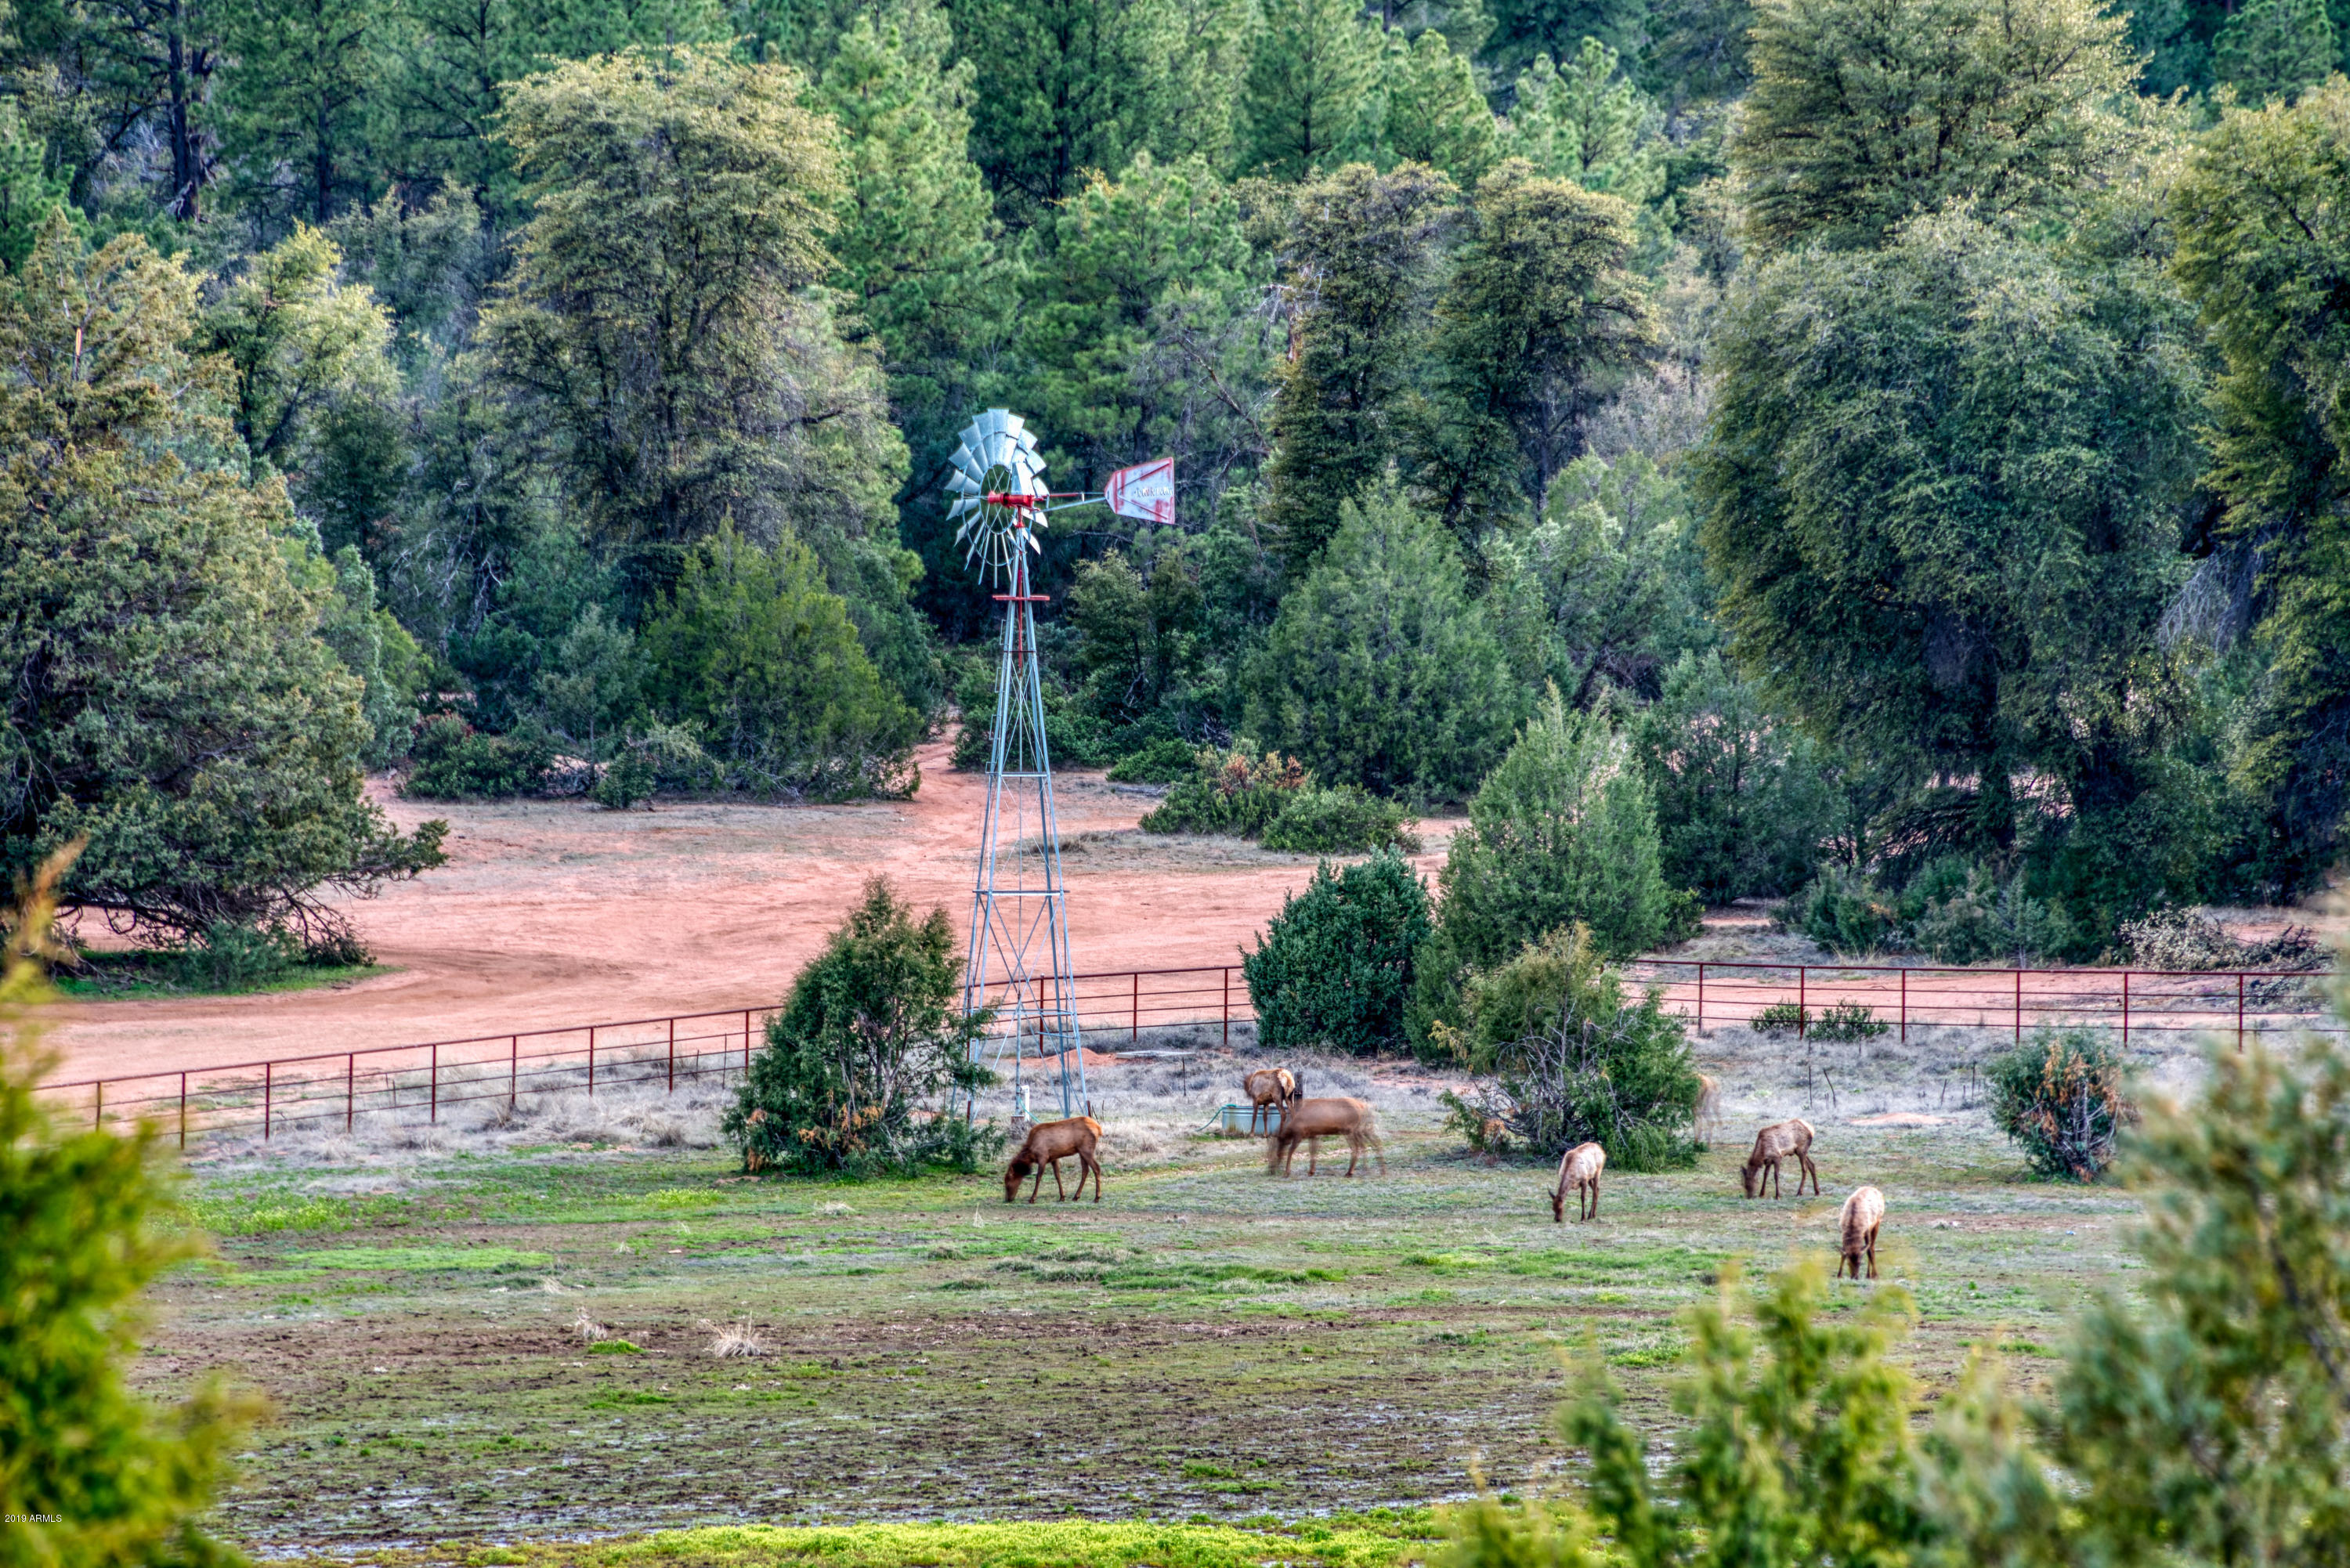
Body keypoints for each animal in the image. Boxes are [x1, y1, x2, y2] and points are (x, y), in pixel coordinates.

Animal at [1004, 1116, 1105, 1203]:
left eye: (1008, 1184)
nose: (1008, 1199)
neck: (1031, 1154)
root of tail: (1098, 1128)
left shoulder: (1043, 1157)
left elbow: (1038, 1177)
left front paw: (1032, 1198)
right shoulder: (1054, 1158)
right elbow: (1057, 1176)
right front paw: (1062, 1197)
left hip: (1086, 1150)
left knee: (1096, 1168)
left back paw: (1097, 1197)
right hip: (1081, 1151)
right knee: (1085, 1171)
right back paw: (1076, 1196)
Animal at [1267, 1096, 1383, 1178]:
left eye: (1271, 1154)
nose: (1271, 1170)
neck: (1290, 1124)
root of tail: (1363, 1107)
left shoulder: (1299, 1135)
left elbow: (1290, 1151)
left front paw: (1287, 1172)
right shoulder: (1313, 1135)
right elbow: (1313, 1151)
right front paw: (1311, 1171)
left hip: (1349, 1131)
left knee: (1357, 1147)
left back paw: (1351, 1172)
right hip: (1359, 1130)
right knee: (1370, 1143)